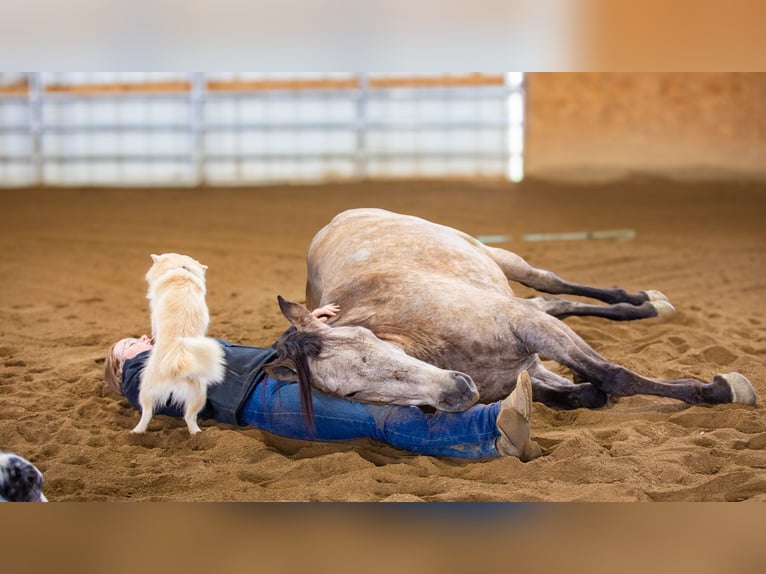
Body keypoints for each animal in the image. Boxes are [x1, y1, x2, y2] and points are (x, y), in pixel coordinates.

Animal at [133, 254, 226, 434]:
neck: (182, 270)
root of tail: (178, 366)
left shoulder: (154, 316)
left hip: (146, 389)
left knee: (147, 413)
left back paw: (136, 432)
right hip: (199, 395)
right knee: (190, 418)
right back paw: (197, 434)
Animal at [272, 208, 756, 414]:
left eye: (368, 346)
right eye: (353, 393)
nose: (457, 393)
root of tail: (340, 218)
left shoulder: (529, 327)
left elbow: (614, 375)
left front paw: (721, 389)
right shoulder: (528, 364)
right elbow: (587, 390)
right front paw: (584, 389)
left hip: (499, 256)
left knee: (550, 283)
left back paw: (645, 302)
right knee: (553, 300)